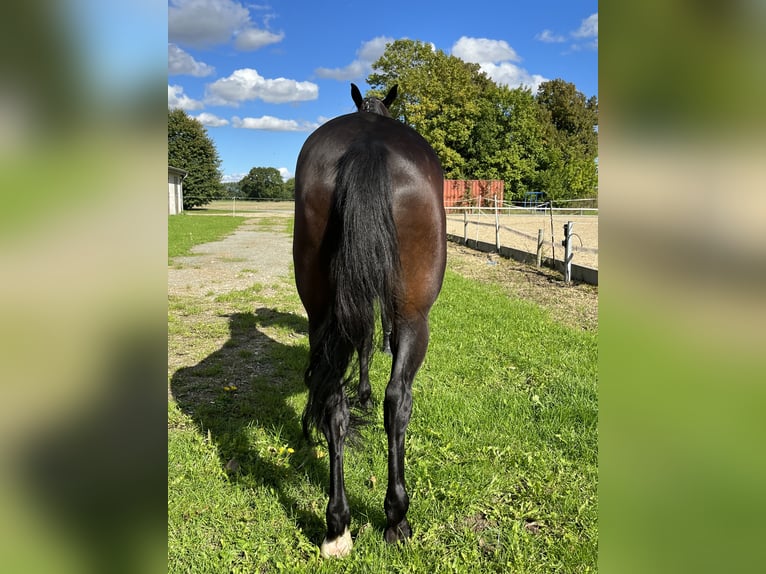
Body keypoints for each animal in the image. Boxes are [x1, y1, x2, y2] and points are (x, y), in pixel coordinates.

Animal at [294, 84, 450, 560]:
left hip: (321, 314)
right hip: (416, 317)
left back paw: (337, 526)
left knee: (332, 402)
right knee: (397, 400)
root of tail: (367, 144)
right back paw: (396, 517)